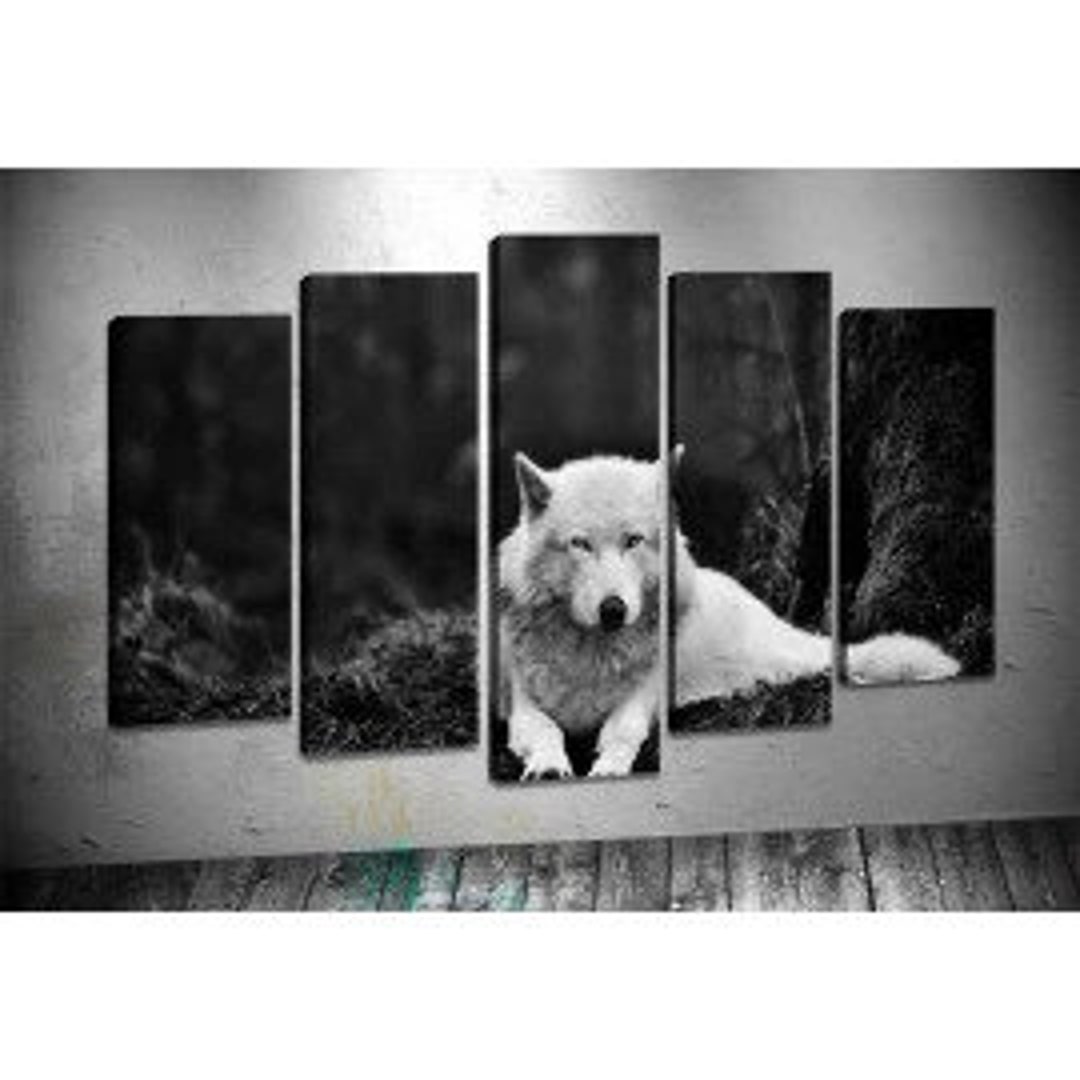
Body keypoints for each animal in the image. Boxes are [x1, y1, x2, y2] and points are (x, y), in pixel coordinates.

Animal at [498, 450, 960, 780]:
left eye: (634, 540)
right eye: (579, 544)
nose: (614, 609)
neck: (593, 655)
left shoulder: (645, 694)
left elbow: (621, 730)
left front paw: (609, 768)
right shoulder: (521, 704)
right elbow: (545, 729)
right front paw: (548, 765)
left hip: (778, 663)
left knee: (825, 667)